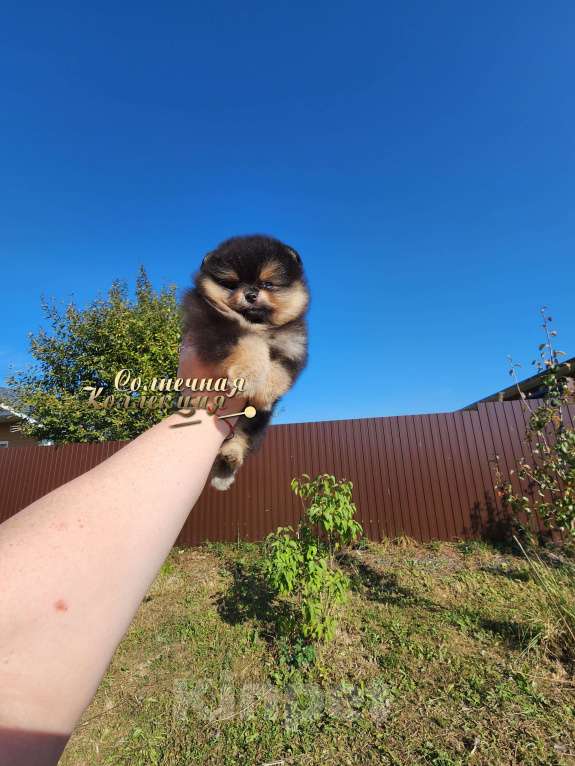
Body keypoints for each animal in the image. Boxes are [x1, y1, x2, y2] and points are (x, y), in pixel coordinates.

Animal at [183, 234, 310, 492]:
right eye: (232, 284)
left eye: (267, 284)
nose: (250, 294)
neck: (257, 324)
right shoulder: (213, 327)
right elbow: (250, 343)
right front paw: (248, 377)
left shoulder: (293, 344)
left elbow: (281, 369)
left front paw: (265, 390)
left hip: (256, 421)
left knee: (242, 435)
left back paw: (229, 459)